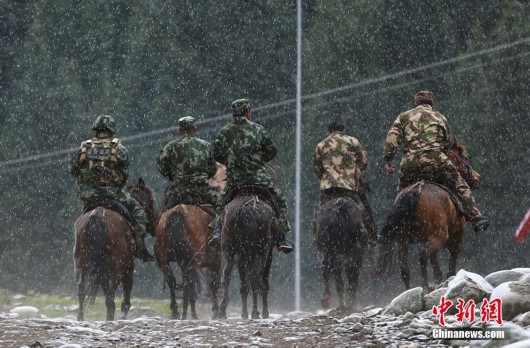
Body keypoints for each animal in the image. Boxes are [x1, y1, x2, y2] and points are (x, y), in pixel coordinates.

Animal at [73, 177, 157, 320]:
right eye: (151, 201)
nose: (156, 222)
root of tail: (96, 216)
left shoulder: (102, 273)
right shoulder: (128, 268)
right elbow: (125, 298)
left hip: (81, 266)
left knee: (82, 291)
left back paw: (81, 318)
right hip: (117, 270)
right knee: (110, 297)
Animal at [217, 189, 278, 320]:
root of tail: (246, 209)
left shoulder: (239, 257)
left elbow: (243, 284)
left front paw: (244, 312)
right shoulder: (268, 253)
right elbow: (262, 281)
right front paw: (264, 312)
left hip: (228, 249)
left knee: (225, 275)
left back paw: (223, 312)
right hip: (261, 251)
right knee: (255, 277)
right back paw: (255, 312)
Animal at [374, 141, 480, 290]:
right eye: (464, 158)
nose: (477, 177)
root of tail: (415, 191)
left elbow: (435, 266)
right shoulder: (456, 240)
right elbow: (450, 267)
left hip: (403, 241)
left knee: (405, 268)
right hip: (438, 238)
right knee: (422, 256)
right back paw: (425, 287)